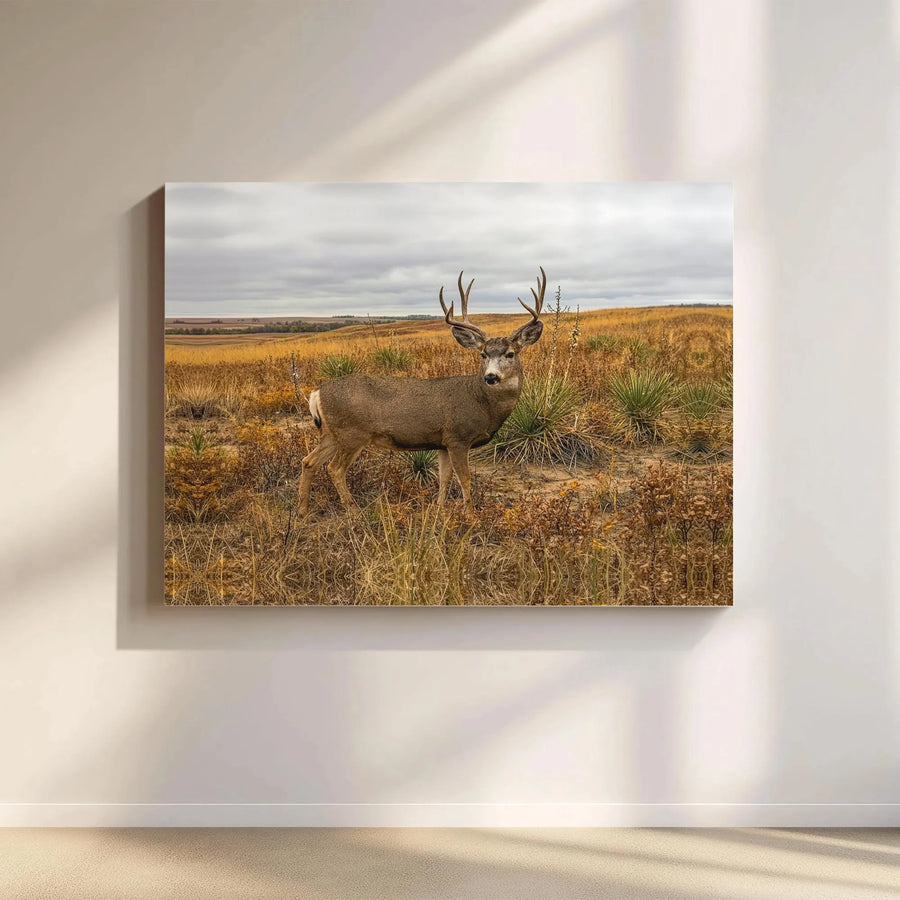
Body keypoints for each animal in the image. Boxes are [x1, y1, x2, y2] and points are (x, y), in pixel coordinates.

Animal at [298, 267, 546, 514]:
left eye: (510, 354)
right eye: (483, 354)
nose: (491, 376)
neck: (482, 403)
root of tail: (317, 392)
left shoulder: (443, 442)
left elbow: (444, 478)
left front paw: (440, 510)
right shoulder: (458, 437)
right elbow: (464, 479)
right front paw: (470, 515)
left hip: (332, 433)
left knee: (308, 461)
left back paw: (303, 511)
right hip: (352, 433)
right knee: (335, 469)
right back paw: (353, 510)